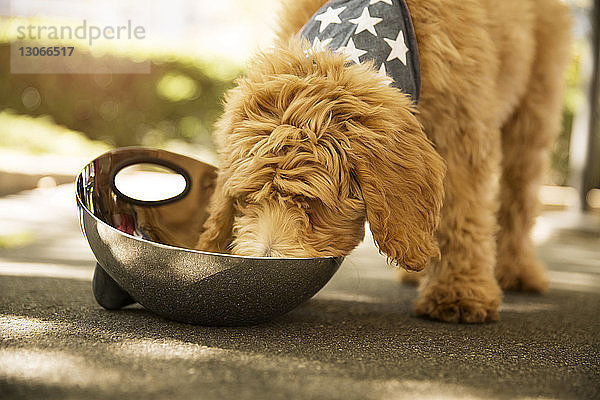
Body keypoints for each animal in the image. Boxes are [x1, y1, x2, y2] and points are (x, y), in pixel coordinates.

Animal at [197, 0, 572, 322]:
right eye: (246, 199)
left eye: (313, 204)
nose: (266, 261)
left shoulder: (460, 131)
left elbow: (462, 215)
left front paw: (460, 292)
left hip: (533, 113)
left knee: (518, 199)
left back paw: (517, 270)